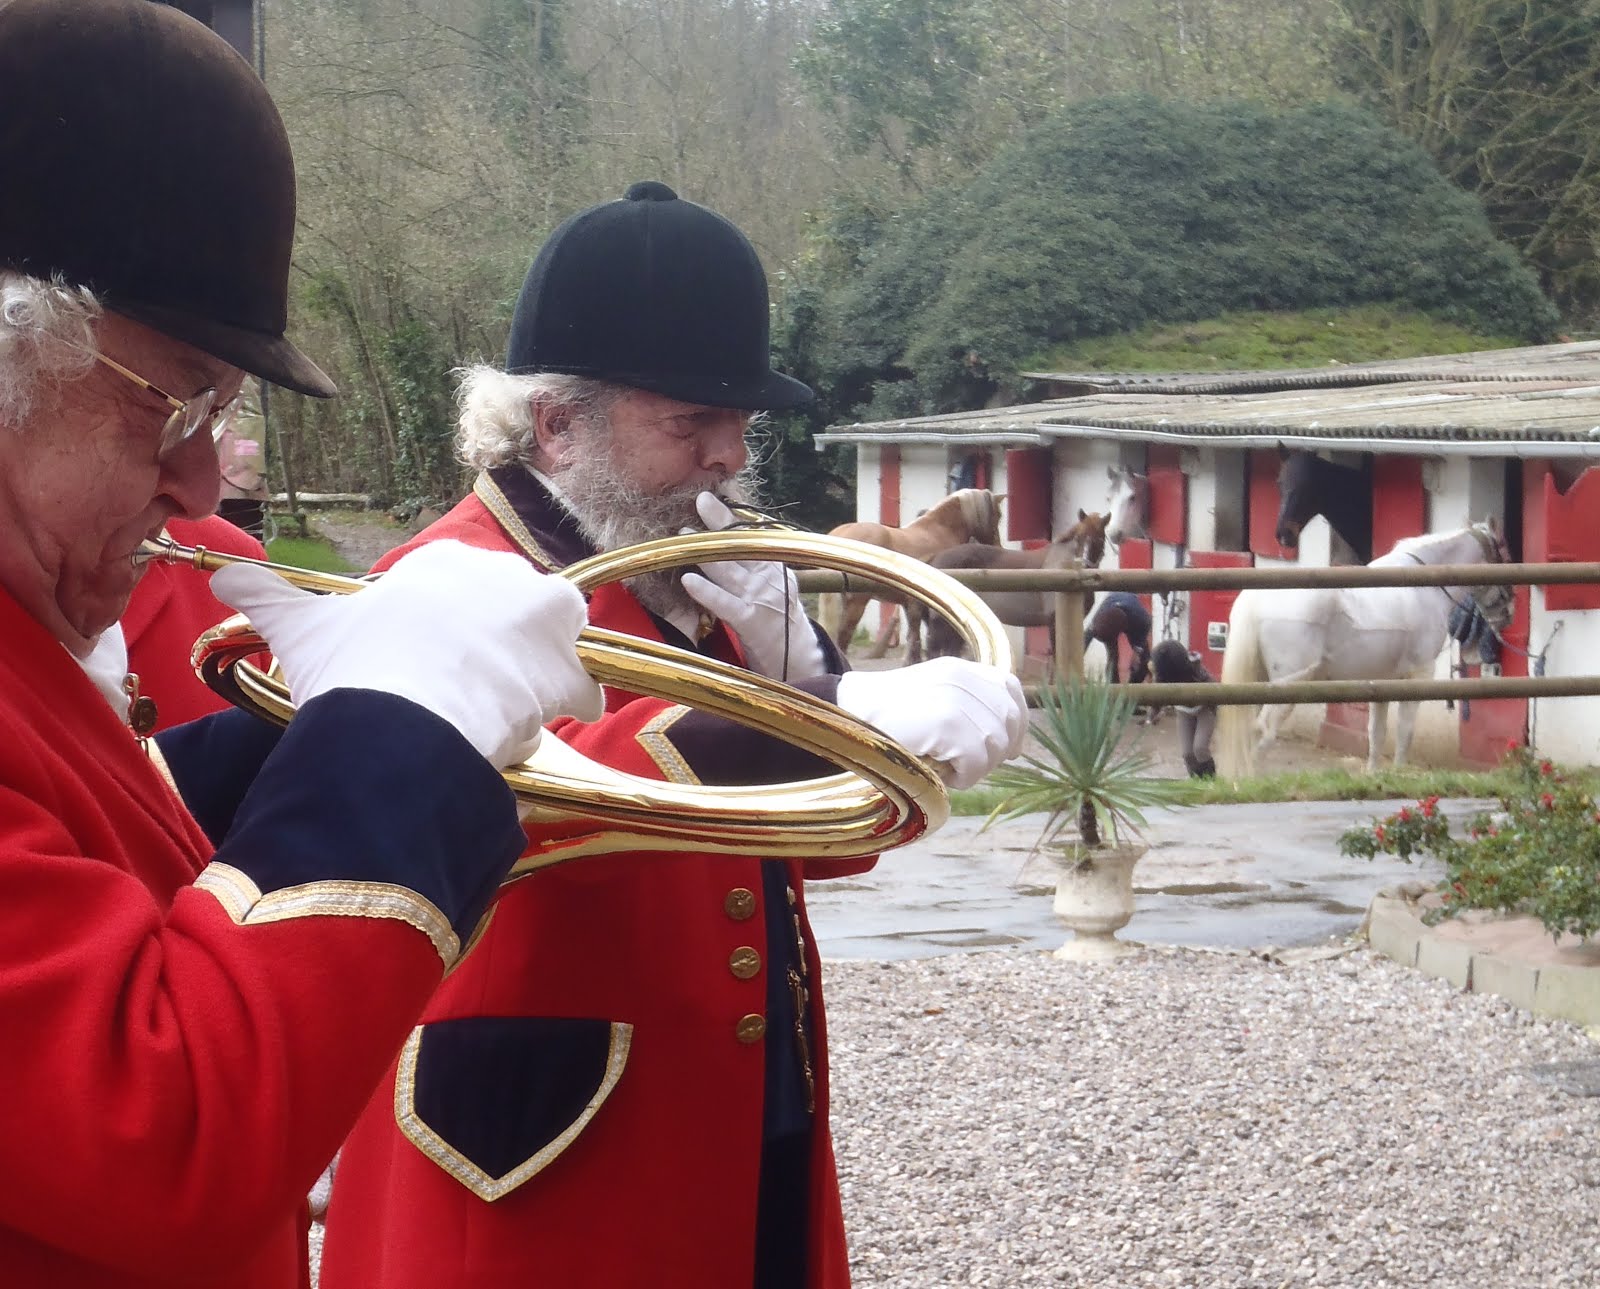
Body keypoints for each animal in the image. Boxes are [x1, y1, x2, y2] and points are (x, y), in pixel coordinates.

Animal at [819, 489, 1004, 662]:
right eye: (998, 515)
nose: (997, 546)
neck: (940, 531)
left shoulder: (911, 604)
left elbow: (914, 637)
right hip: (856, 604)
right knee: (843, 638)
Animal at [1209, 521, 1510, 777]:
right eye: (1506, 555)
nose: (1507, 615)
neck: (1421, 586)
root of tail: (1257, 601)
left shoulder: (1382, 683)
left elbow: (1376, 734)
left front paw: (1374, 777)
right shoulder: (1418, 676)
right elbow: (1405, 732)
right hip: (1287, 686)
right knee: (1262, 733)